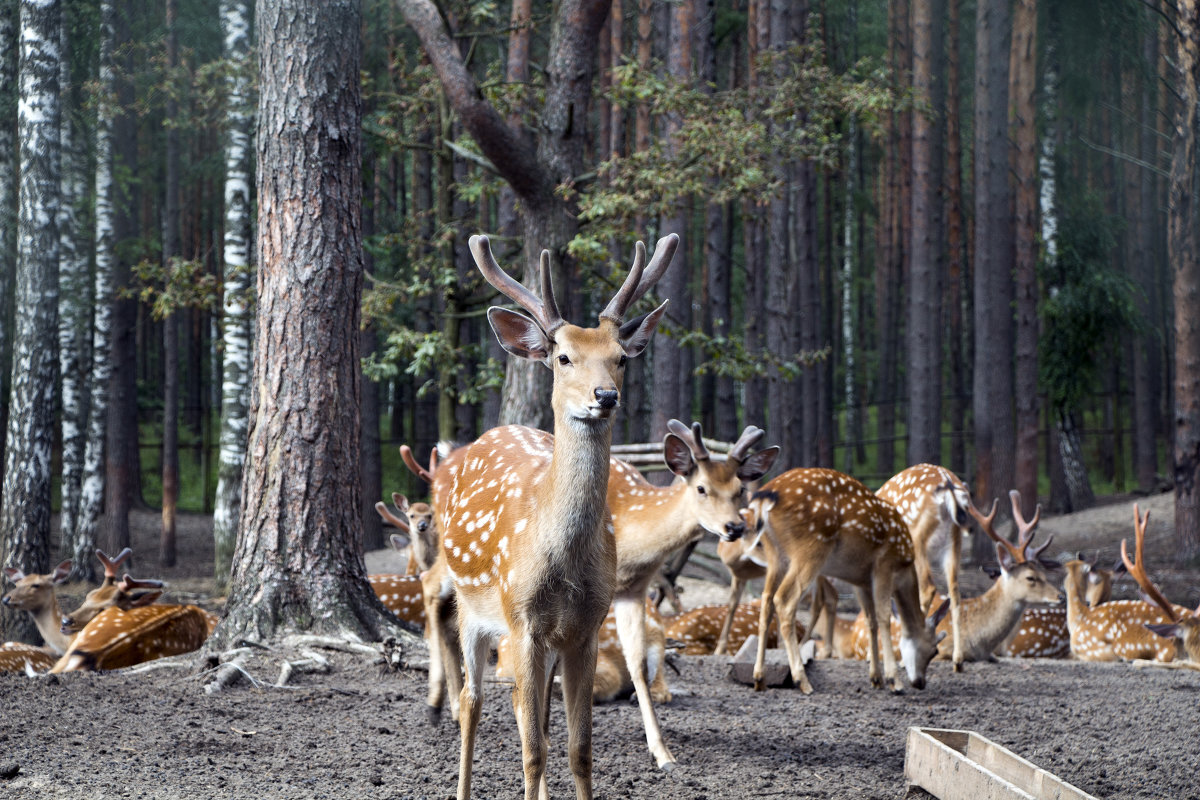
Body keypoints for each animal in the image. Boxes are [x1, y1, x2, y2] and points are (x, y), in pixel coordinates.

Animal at [432, 231, 676, 800]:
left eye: (620, 358)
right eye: (563, 357)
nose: (604, 396)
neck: (560, 562)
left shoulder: (584, 627)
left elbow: (577, 748)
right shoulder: (521, 620)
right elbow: (532, 750)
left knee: (536, 712)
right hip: (473, 609)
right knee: (472, 702)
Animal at [739, 470, 945, 695]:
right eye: (934, 650)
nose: (920, 683)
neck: (905, 567)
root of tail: (764, 497)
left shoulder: (861, 581)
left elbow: (870, 620)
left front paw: (876, 678)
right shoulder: (884, 565)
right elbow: (884, 616)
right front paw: (894, 681)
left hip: (776, 555)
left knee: (767, 601)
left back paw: (759, 678)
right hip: (811, 548)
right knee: (784, 600)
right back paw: (802, 681)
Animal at [873, 462, 974, 671]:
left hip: (917, 540)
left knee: (928, 587)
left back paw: (906, 658)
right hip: (953, 542)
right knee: (955, 589)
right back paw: (958, 661)